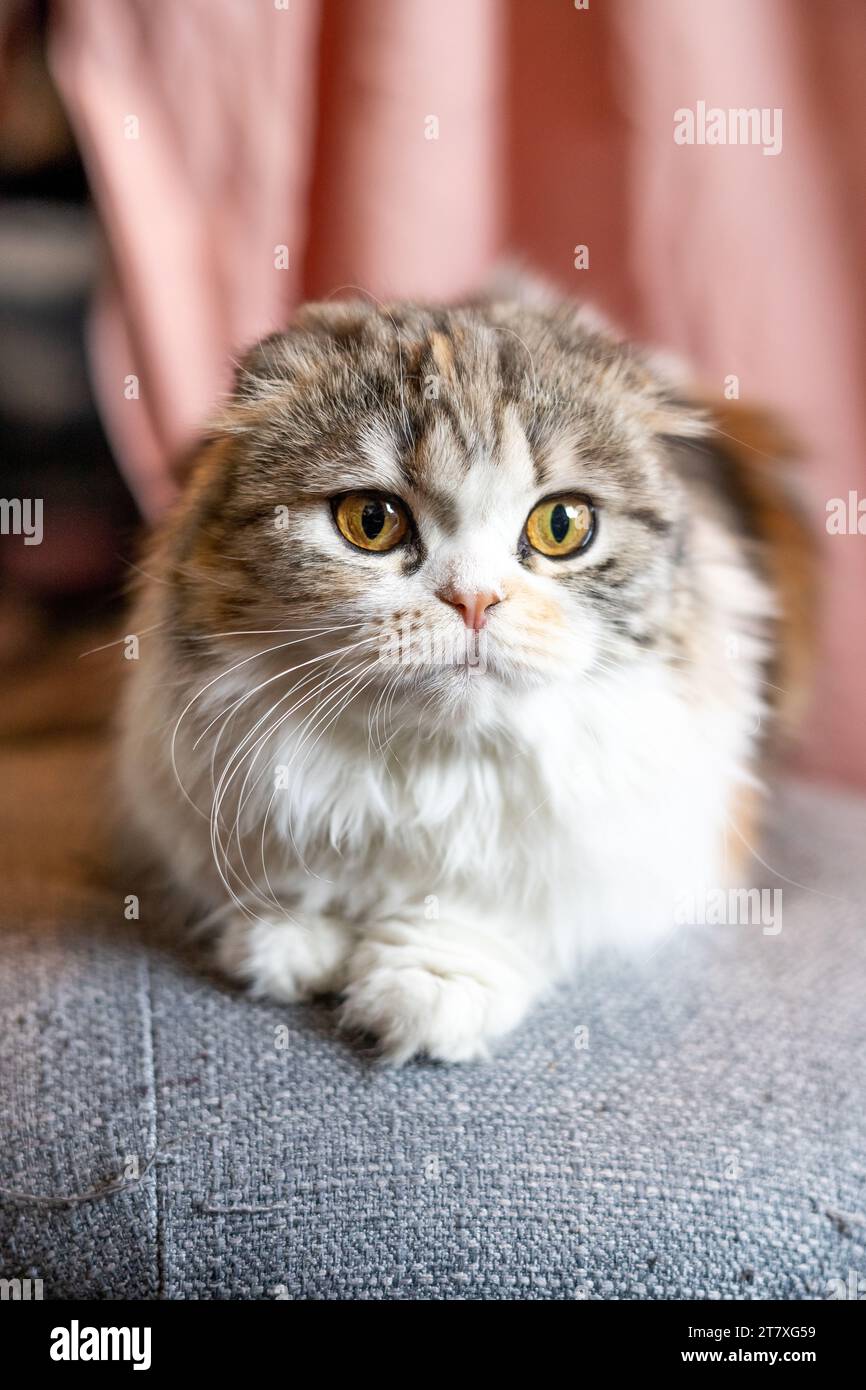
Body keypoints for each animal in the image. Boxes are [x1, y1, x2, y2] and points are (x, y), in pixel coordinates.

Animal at [118, 279, 817, 1061]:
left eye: (562, 526)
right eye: (371, 521)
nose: (475, 600)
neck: (430, 766)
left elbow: (498, 905)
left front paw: (430, 983)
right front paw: (291, 941)